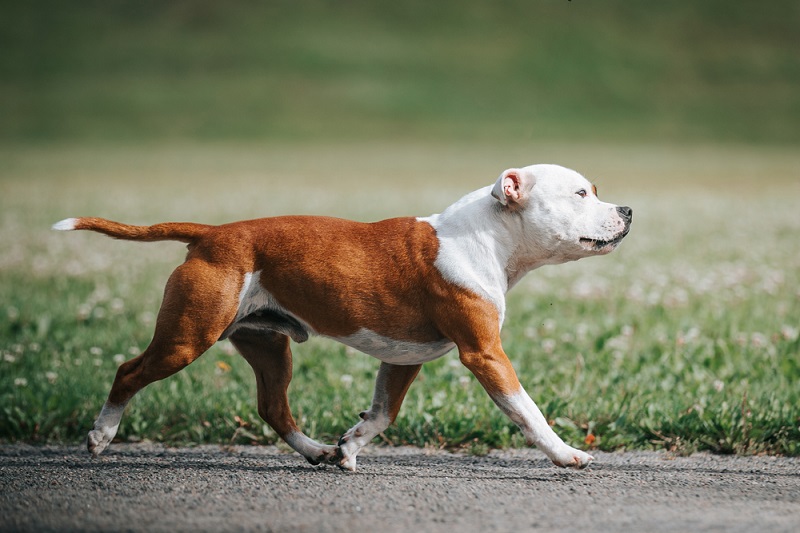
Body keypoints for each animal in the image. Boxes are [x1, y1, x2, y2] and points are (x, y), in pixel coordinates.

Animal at [54, 163, 632, 470]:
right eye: (580, 193)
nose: (628, 210)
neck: (490, 235)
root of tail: (211, 234)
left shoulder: (403, 357)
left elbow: (382, 412)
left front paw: (349, 445)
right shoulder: (485, 354)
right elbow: (527, 411)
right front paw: (567, 454)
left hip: (268, 344)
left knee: (273, 407)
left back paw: (315, 451)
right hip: (187, 335)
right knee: (129, 371)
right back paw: (101, 435)